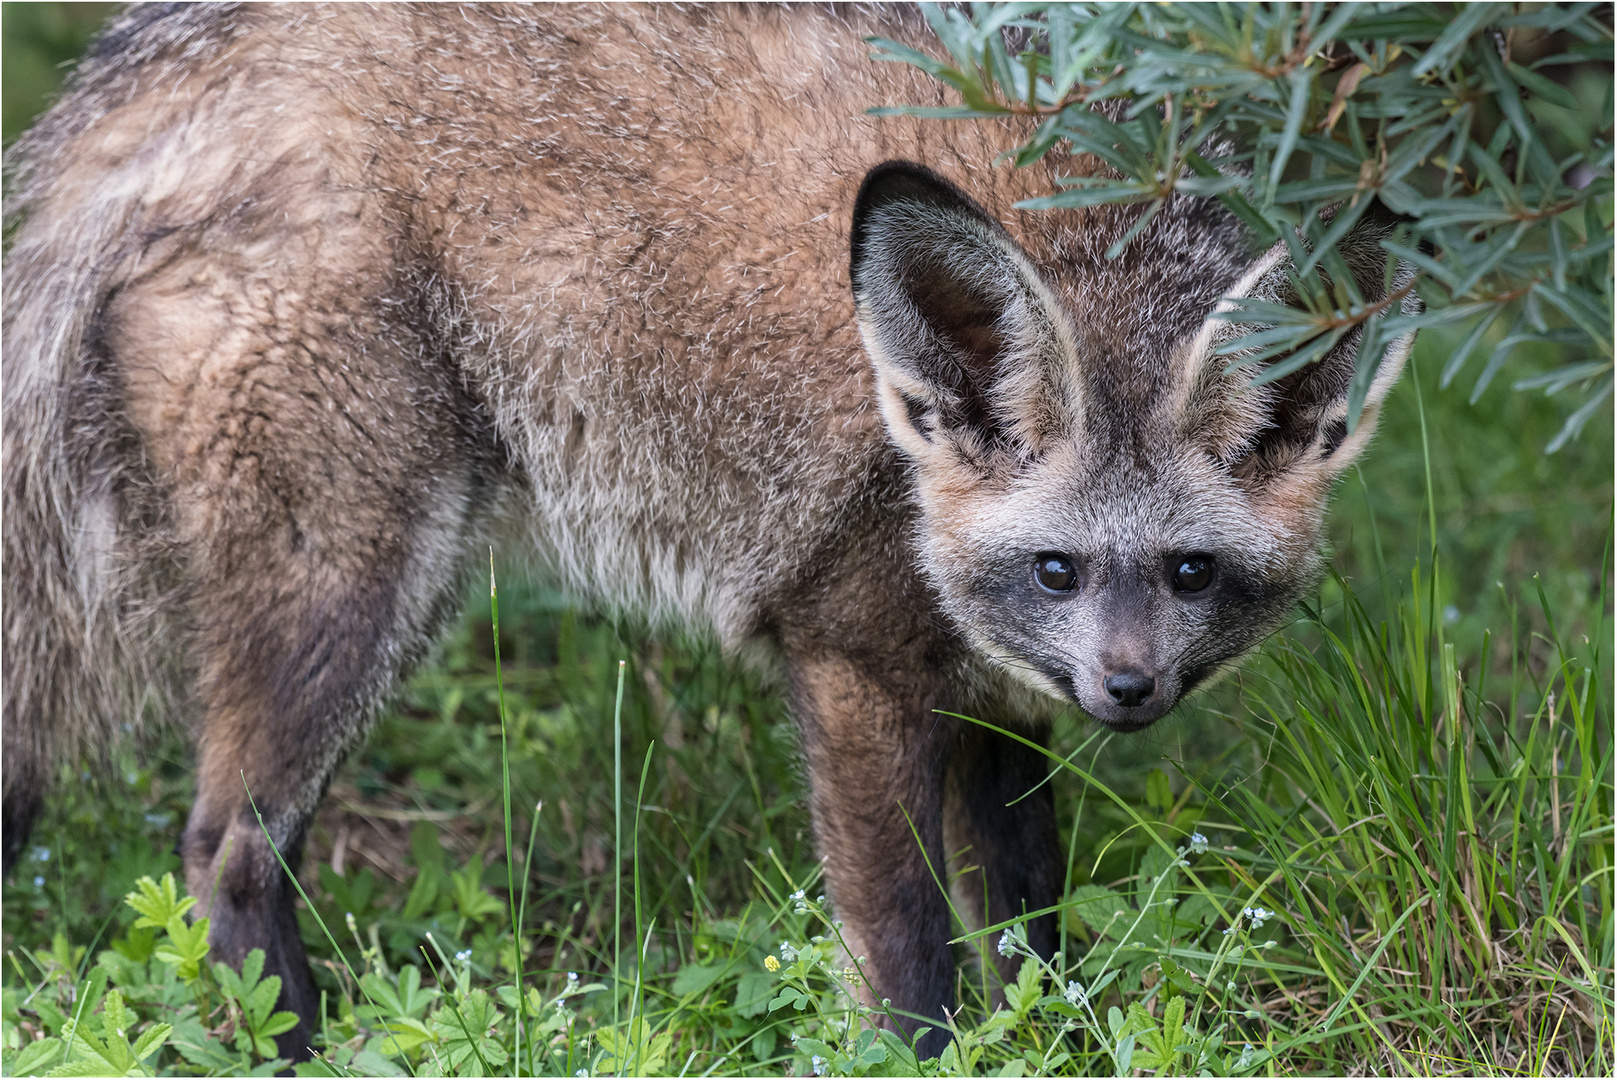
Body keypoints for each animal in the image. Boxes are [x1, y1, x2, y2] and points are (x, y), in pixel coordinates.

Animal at [3, 2, 1416, 1060]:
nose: (1129, 691)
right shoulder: (849, 663)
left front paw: (1049, 1041)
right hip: (363, 587)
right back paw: (287, 1041)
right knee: (225, 850)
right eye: (1057, 568)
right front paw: (923, 1054)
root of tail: (155, 66)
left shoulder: (995, 702)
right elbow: (909, 955)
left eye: (1191, 572)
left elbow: (1029, 930)